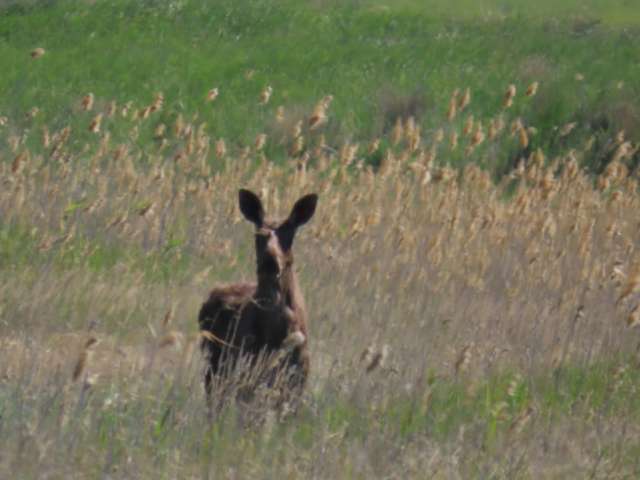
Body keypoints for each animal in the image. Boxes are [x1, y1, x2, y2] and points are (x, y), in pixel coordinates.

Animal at [198, 189, 318, 410]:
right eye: (258, 235)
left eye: (290, 234)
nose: (270, 262)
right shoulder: (248, 369)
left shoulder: (298, 379)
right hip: (215, 363)